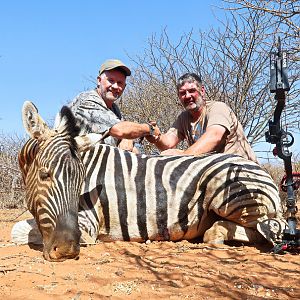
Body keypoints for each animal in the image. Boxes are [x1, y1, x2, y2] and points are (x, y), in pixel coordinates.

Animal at [12, 101, 288, 260]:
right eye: (45, 175)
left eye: (81, 181)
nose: (67, 250)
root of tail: (262, 172)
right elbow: (21, 229)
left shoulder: (87, 222)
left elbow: (20, 232)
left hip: (228, 191)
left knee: (267, 229)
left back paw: (217, 233)